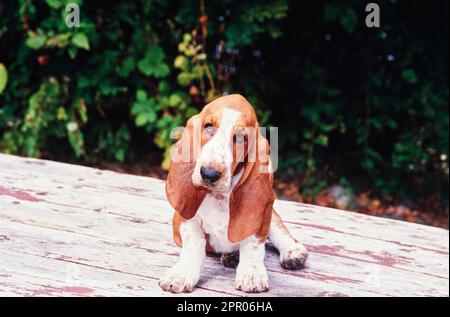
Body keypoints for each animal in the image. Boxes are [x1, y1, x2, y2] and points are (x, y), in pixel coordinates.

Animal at [159, 94, 310, 294]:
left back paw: (292, 252)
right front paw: (181, 274)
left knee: (278, 227)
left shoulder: (260, 217)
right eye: (208, 126)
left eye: (240, 137)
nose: (209, 174)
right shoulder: (184, 218)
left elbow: (253, 243)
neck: (219, 198)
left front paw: (251, 274)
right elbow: (195, 243)